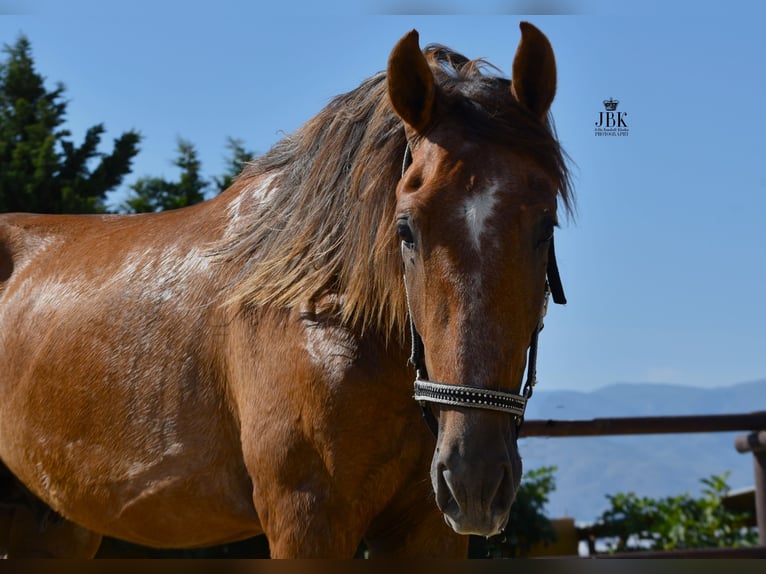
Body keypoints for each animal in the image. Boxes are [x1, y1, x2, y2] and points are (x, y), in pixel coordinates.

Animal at [0, 22, 572, 560]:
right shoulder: (306, 519)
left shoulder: (427, 528)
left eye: (546, 226)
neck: (327, 315)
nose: (475, 477)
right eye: (406, 229)